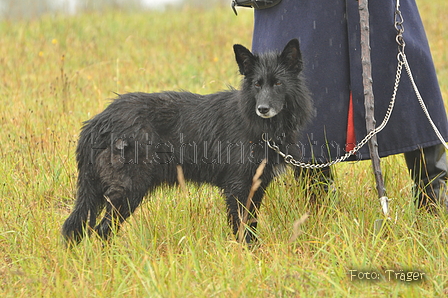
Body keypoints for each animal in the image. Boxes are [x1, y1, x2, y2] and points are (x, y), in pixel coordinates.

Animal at [62, 39, 316, 244]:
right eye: (257, 84)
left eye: (278, 83)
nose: (263, 109)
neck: (260, 126)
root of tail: (98, 121)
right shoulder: (238, 188)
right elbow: (243, 229)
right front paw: (248, 254)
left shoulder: (256, 186)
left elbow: (251, 226)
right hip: (127, 190)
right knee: (102, 230)